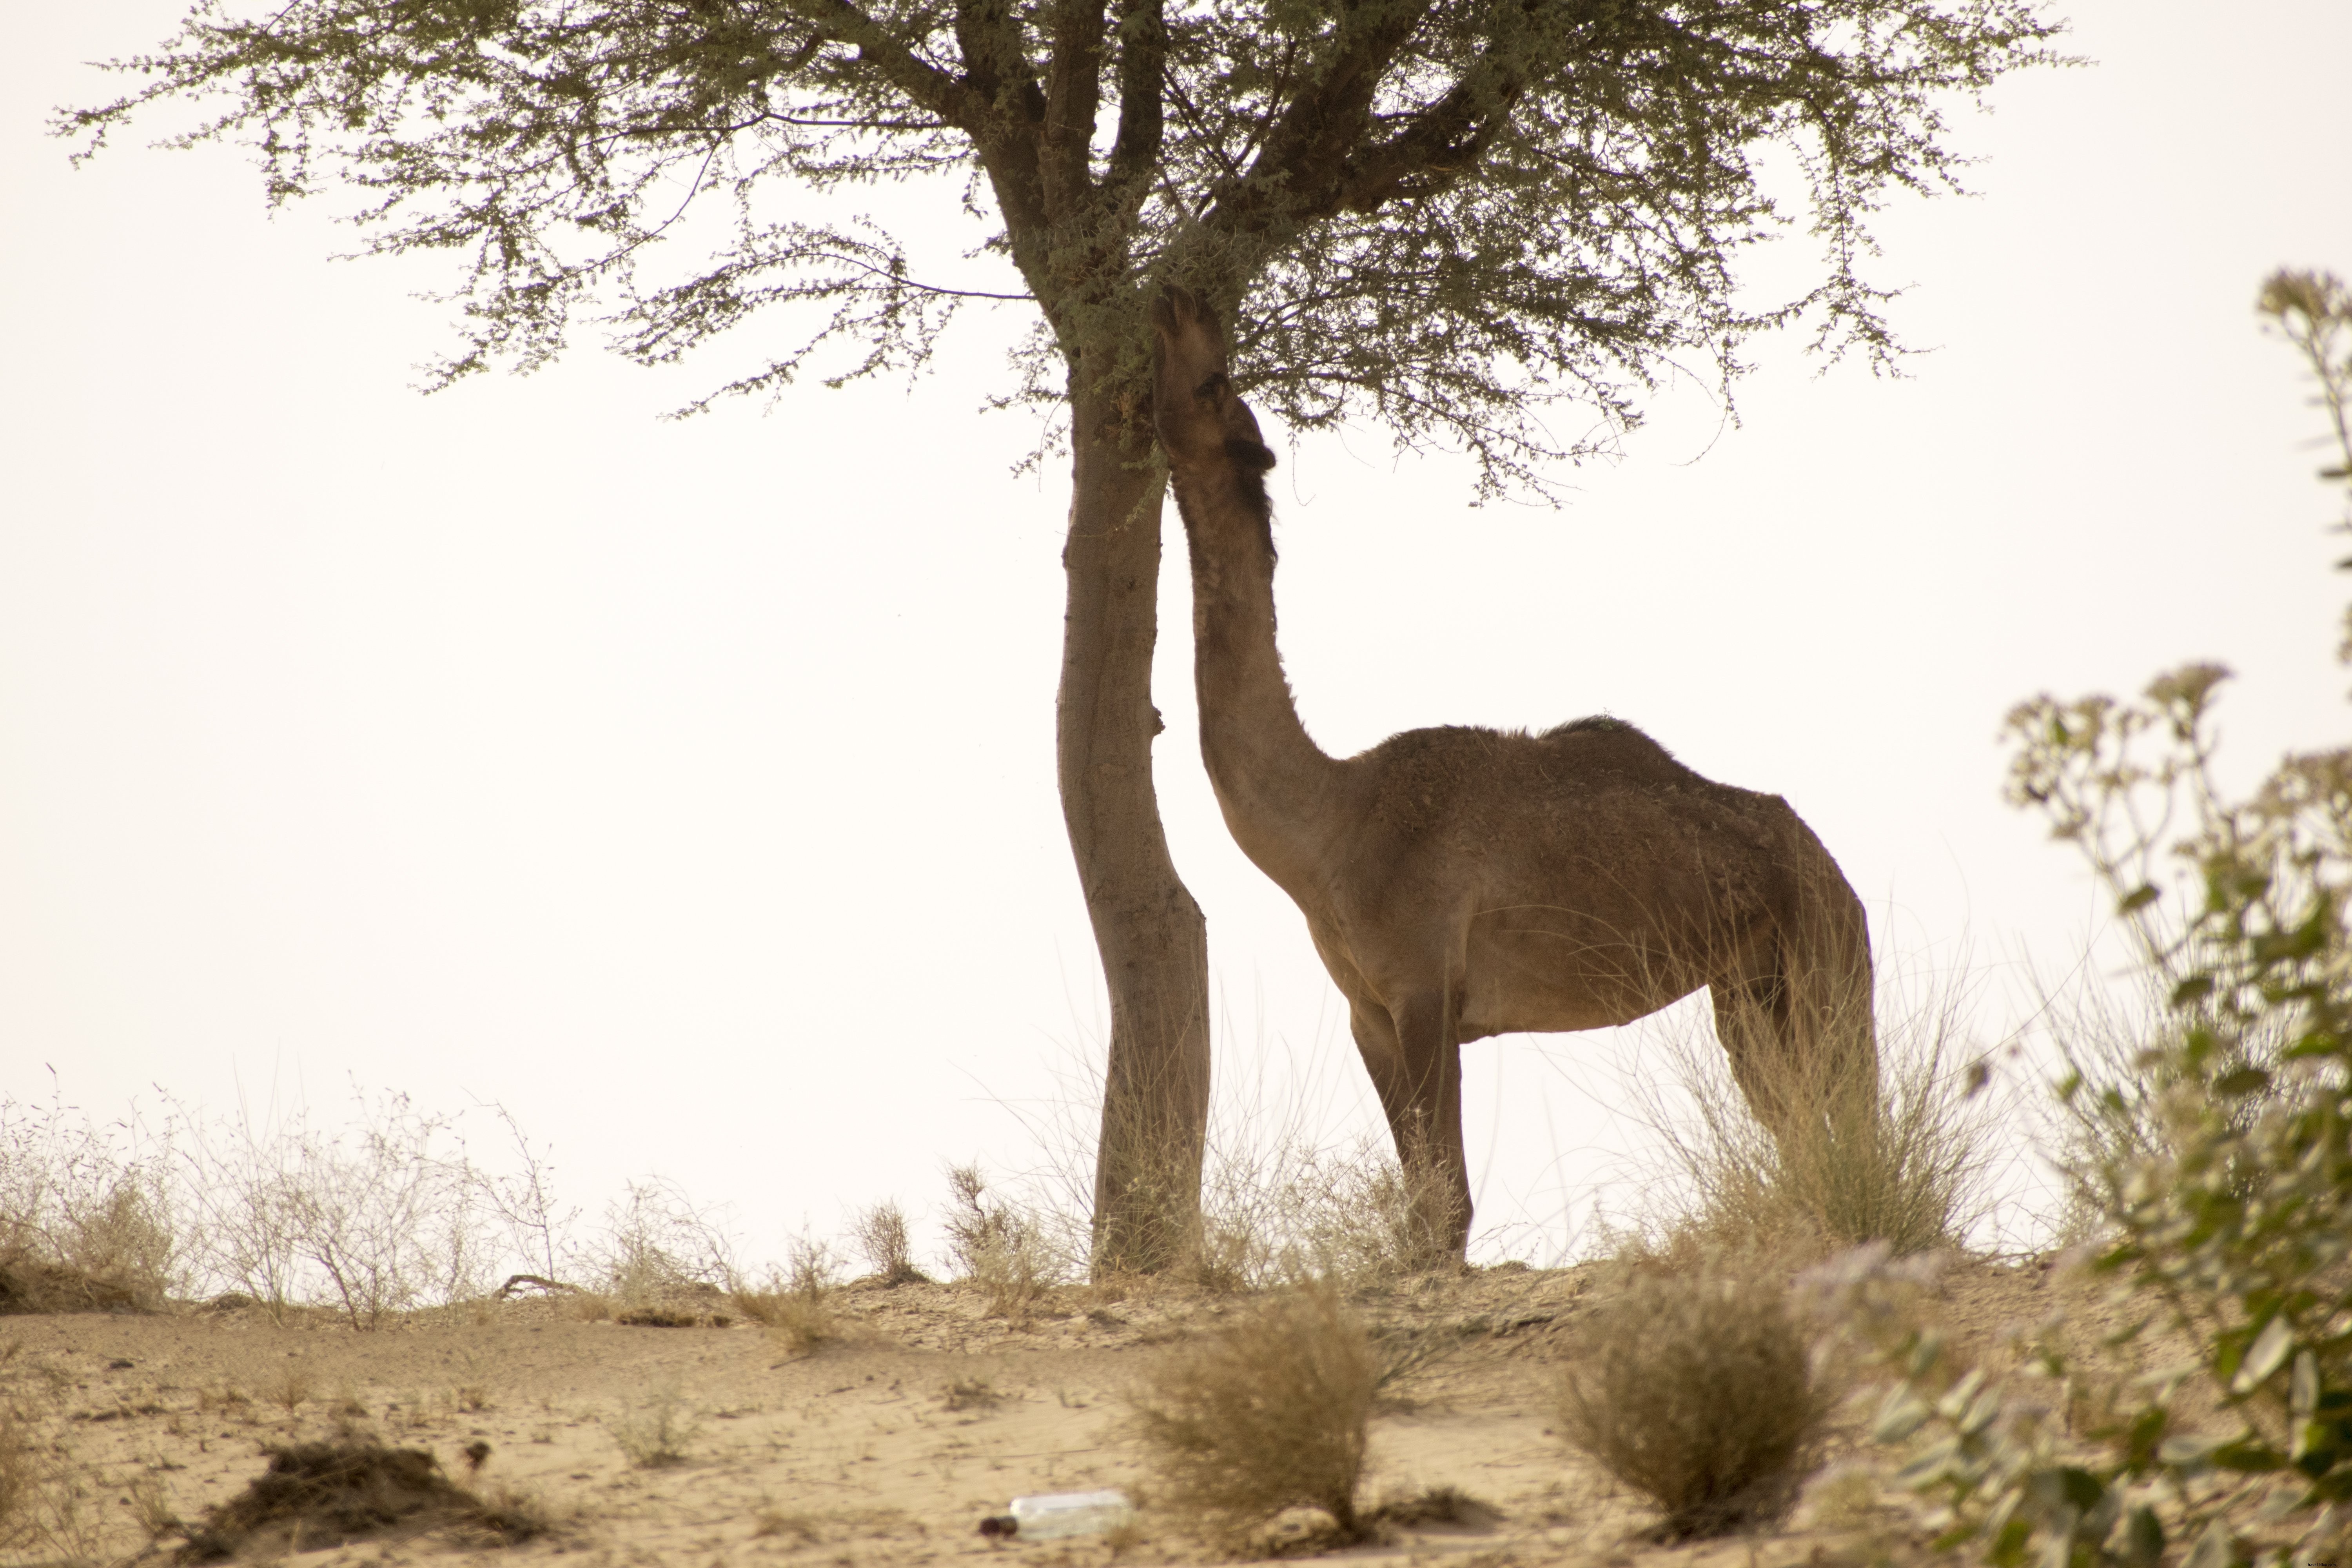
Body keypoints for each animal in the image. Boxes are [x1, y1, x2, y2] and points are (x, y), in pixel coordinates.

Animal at [1147, 285, 1878, 1262]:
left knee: (1854, 1104)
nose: (1175, 299)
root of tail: (1834, 868)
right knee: (1797, 1117)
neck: (1325, 830)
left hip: (1827, 955)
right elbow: (1426, 1204)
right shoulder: (1369, 1015)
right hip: (1751, 990)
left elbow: (1445, 1212)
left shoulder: (1426, 993)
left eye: (1217, 381)